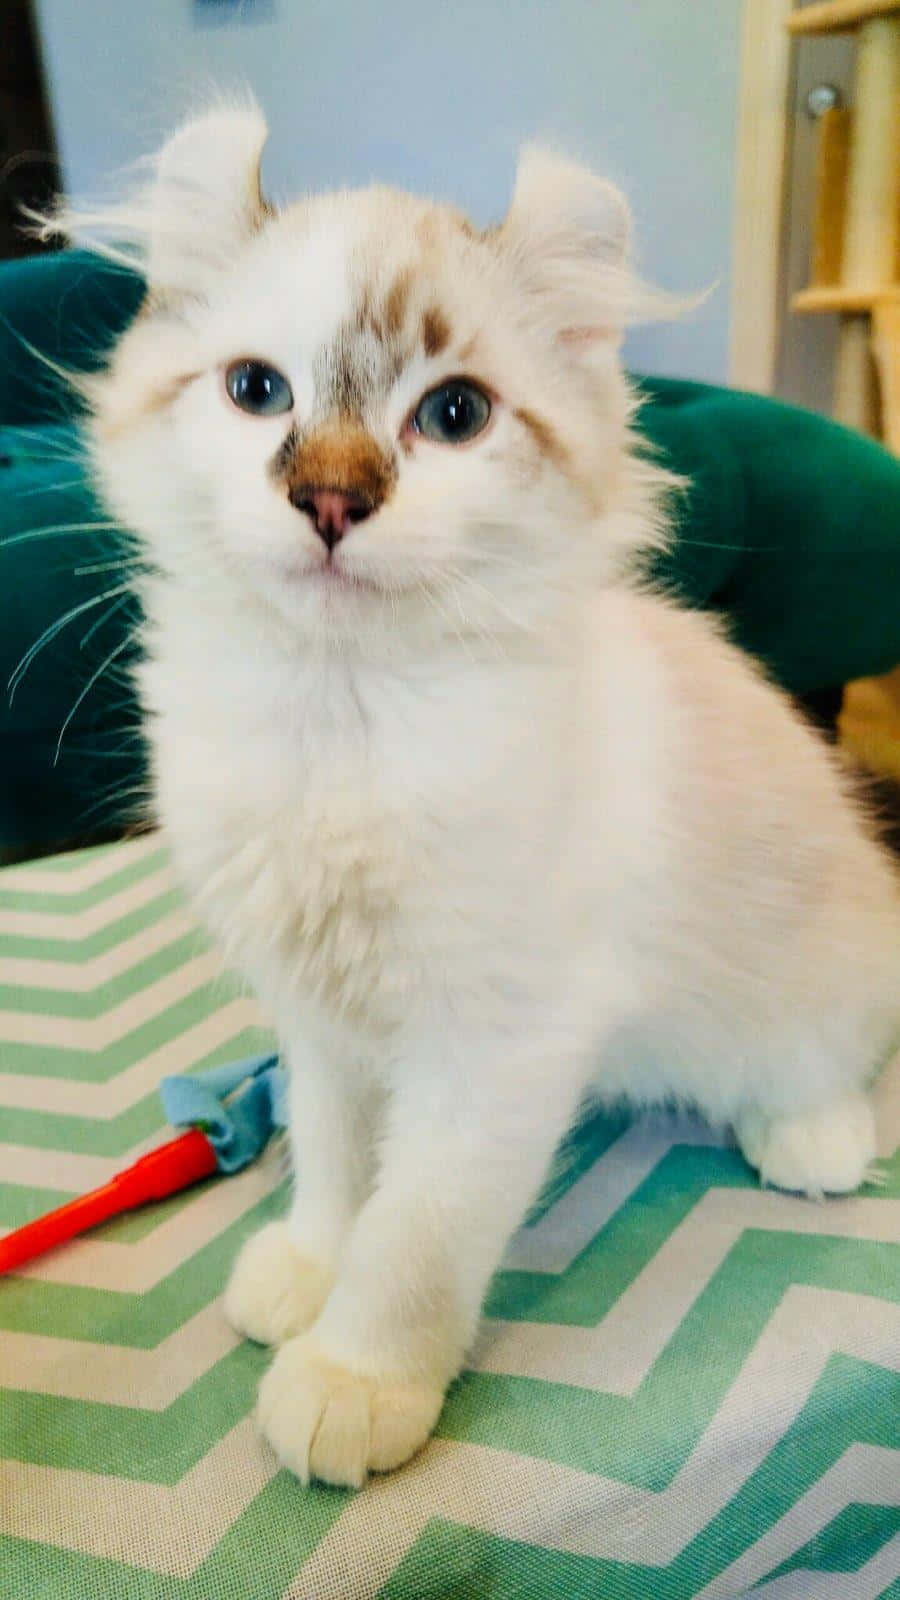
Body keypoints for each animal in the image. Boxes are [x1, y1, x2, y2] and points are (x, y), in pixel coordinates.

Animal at [52, 106, 890, 1491]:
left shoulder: (495, 1041)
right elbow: (336, 1168)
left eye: (453, 414)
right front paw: (308, 1272)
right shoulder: (323, 1020)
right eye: (256, 391)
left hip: (809, 979)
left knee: (832, 1061)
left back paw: (810, 1142)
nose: (332, 498)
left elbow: (416, 1238)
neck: (338, 723)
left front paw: (355, 1381)